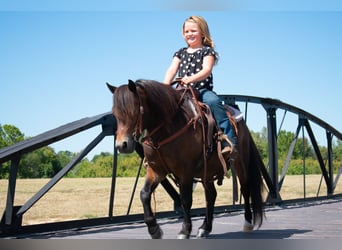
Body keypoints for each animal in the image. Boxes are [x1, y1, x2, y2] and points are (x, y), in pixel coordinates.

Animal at [107, 79, 264, 239]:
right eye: (115, 114)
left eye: (133, 111)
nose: (121, 145)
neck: (168, 127)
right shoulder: (156, 170)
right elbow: (144, 194)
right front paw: (154, 229)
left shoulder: (186, 171)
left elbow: (186, 200)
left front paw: (185, 230)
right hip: (207, 170)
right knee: (211, 195)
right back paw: (205, 228)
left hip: (240, 162)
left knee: (245, 188)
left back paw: (247, 222)